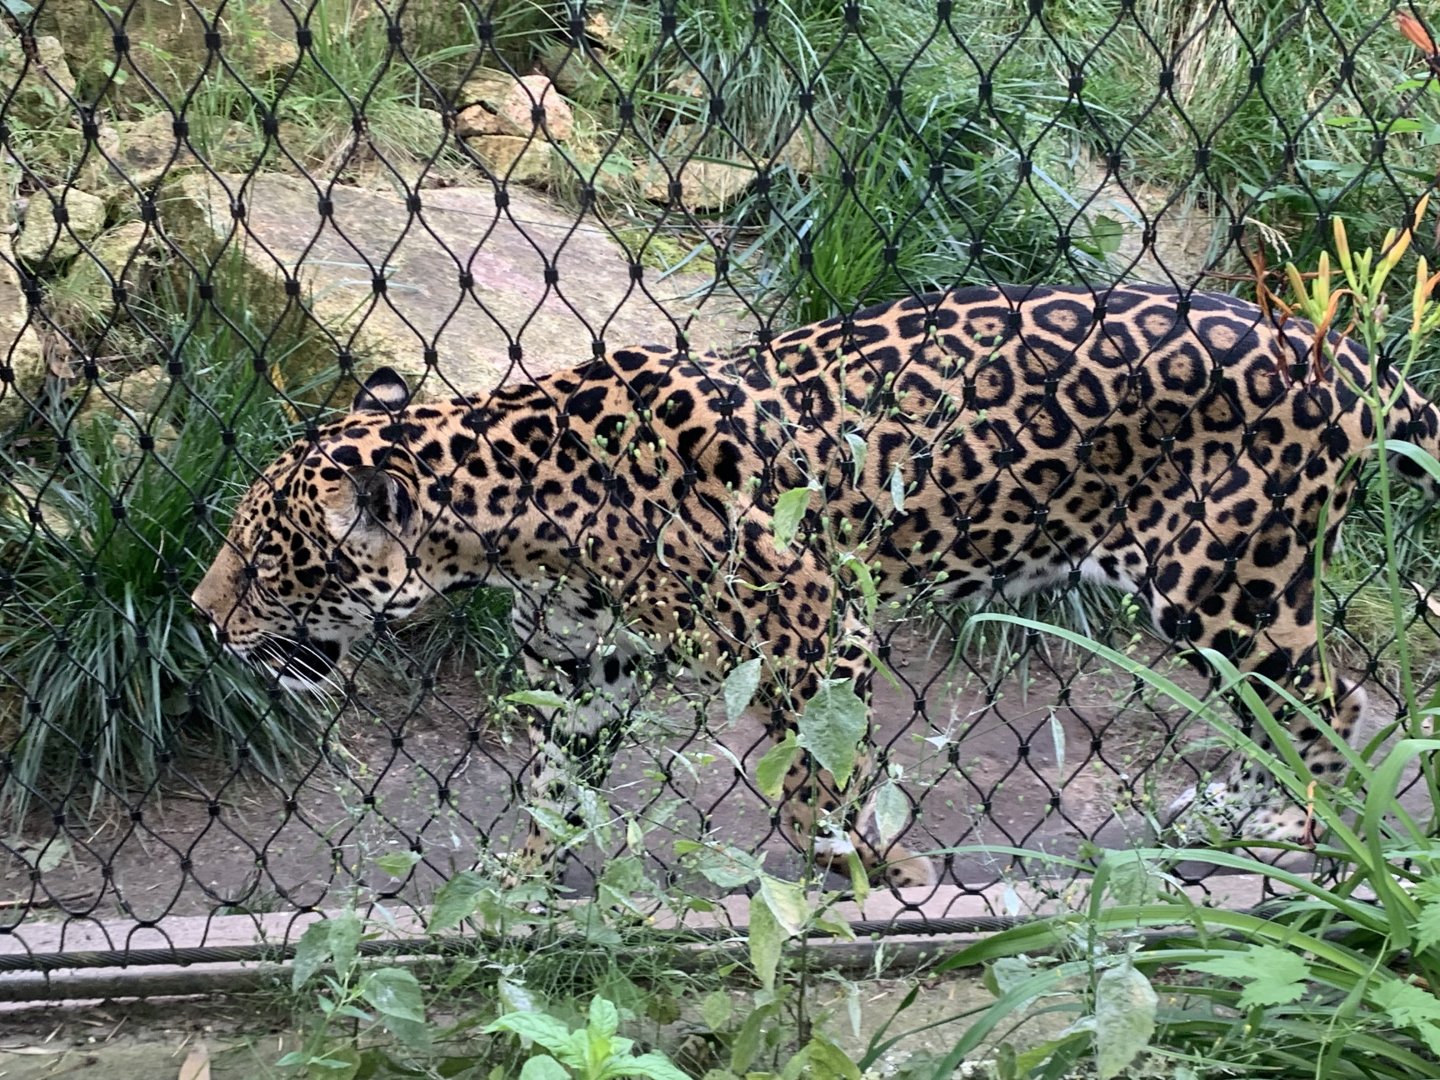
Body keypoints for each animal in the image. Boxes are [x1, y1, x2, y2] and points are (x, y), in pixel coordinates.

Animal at [191, 283, 1440, 890]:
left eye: (260, 558)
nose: (202, 618)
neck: (523, 513)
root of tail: (1345, 354)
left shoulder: (814, 616)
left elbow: (812, 780)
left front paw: (874, 864)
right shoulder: (589, 666)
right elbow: (551, 784)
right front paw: (514, 884)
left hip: (1222, 581)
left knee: (1331, 710)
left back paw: (1312, 838)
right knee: (1303, 709)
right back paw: (1245, 819)